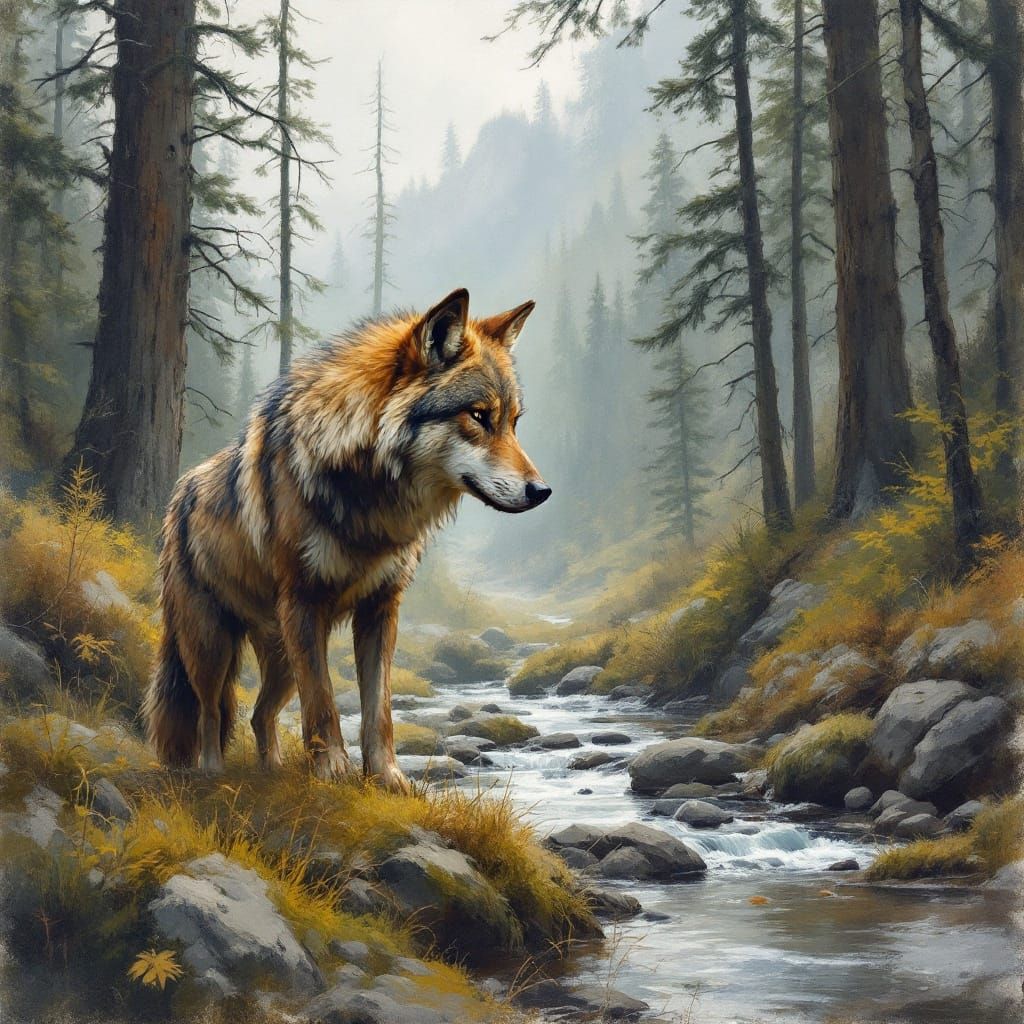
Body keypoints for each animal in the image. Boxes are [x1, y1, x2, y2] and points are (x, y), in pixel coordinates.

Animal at [144, 288, 549, 792]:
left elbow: (379, 710)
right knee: (209, 712)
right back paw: (212, 774)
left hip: (282, 657)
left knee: (259, 714)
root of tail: (180, 492)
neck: (369, 495)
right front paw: (332, 773)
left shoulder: (380, 608)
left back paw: (272, 772)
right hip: (212, 644)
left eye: (513, 422)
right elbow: (323, 706)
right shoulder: (303, 604)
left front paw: (388, 778)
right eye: (479, 417)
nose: (541, 491)